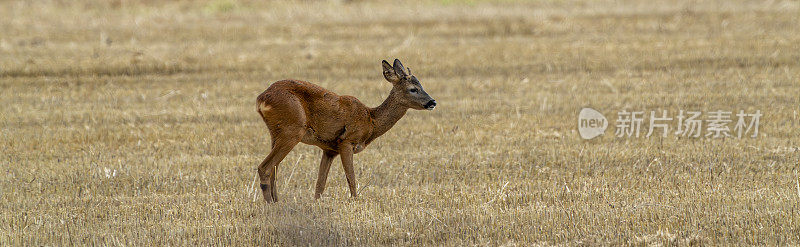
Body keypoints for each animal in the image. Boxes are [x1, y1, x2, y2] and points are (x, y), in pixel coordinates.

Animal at [255, 58, 438, 202]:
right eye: (413, 89)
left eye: (421, 85)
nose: (432, 102)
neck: (370, 121)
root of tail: (261, 98)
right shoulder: (346, 141)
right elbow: (351, 179)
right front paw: (356, 202)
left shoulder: (329, 149)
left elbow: (320, 184)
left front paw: (316, 204)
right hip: (292, 130)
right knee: (265, 167)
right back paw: (270, 203)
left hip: (276, 133)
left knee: (274, 169)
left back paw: (277, 201)